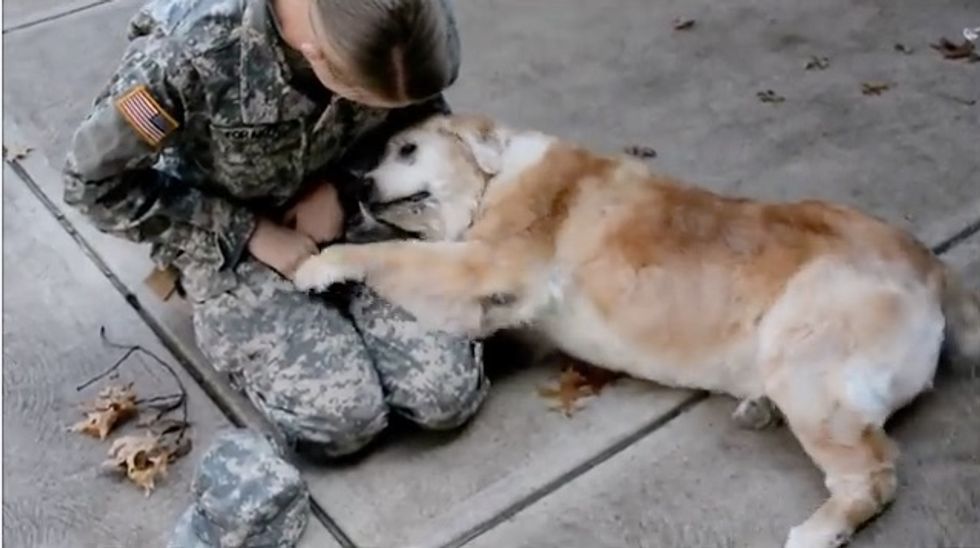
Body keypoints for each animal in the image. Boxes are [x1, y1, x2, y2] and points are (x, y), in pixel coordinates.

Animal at [296, 113, 980, 544]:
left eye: (407, 150)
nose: (357, 185)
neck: (494, 180)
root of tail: (934, 268)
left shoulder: (484, 265)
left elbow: (391, 255)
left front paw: (320, 264)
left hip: (809, 365)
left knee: (875, 472)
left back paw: (818, 531)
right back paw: (759, 408)